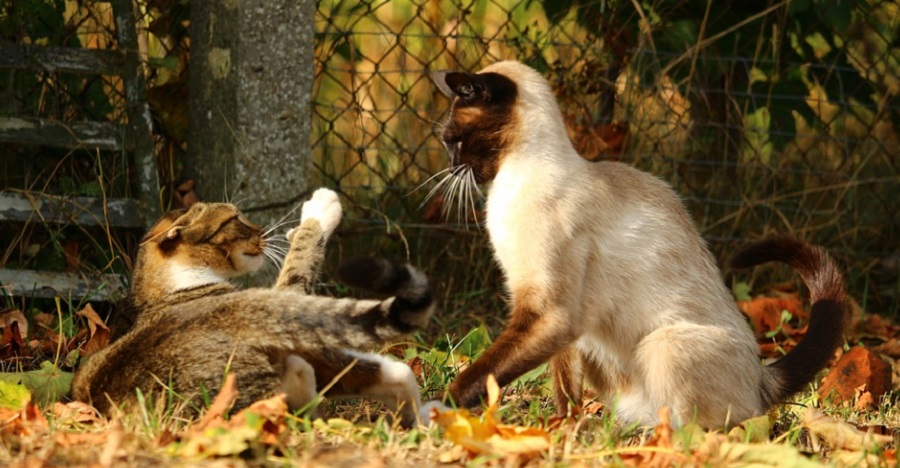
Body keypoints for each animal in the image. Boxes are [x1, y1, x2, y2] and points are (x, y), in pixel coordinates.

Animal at [426, 61, 848, 428]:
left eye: (454, 141)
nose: (450, 167)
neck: (510, 184)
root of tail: (762, 379)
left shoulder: (549, 311)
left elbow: (483, 373)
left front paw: (440, 409)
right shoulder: (558, 322)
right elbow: (564, 388)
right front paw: (561, 430)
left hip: (663, 344)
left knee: (716, 428)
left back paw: (655, 441)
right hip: (599, 346)